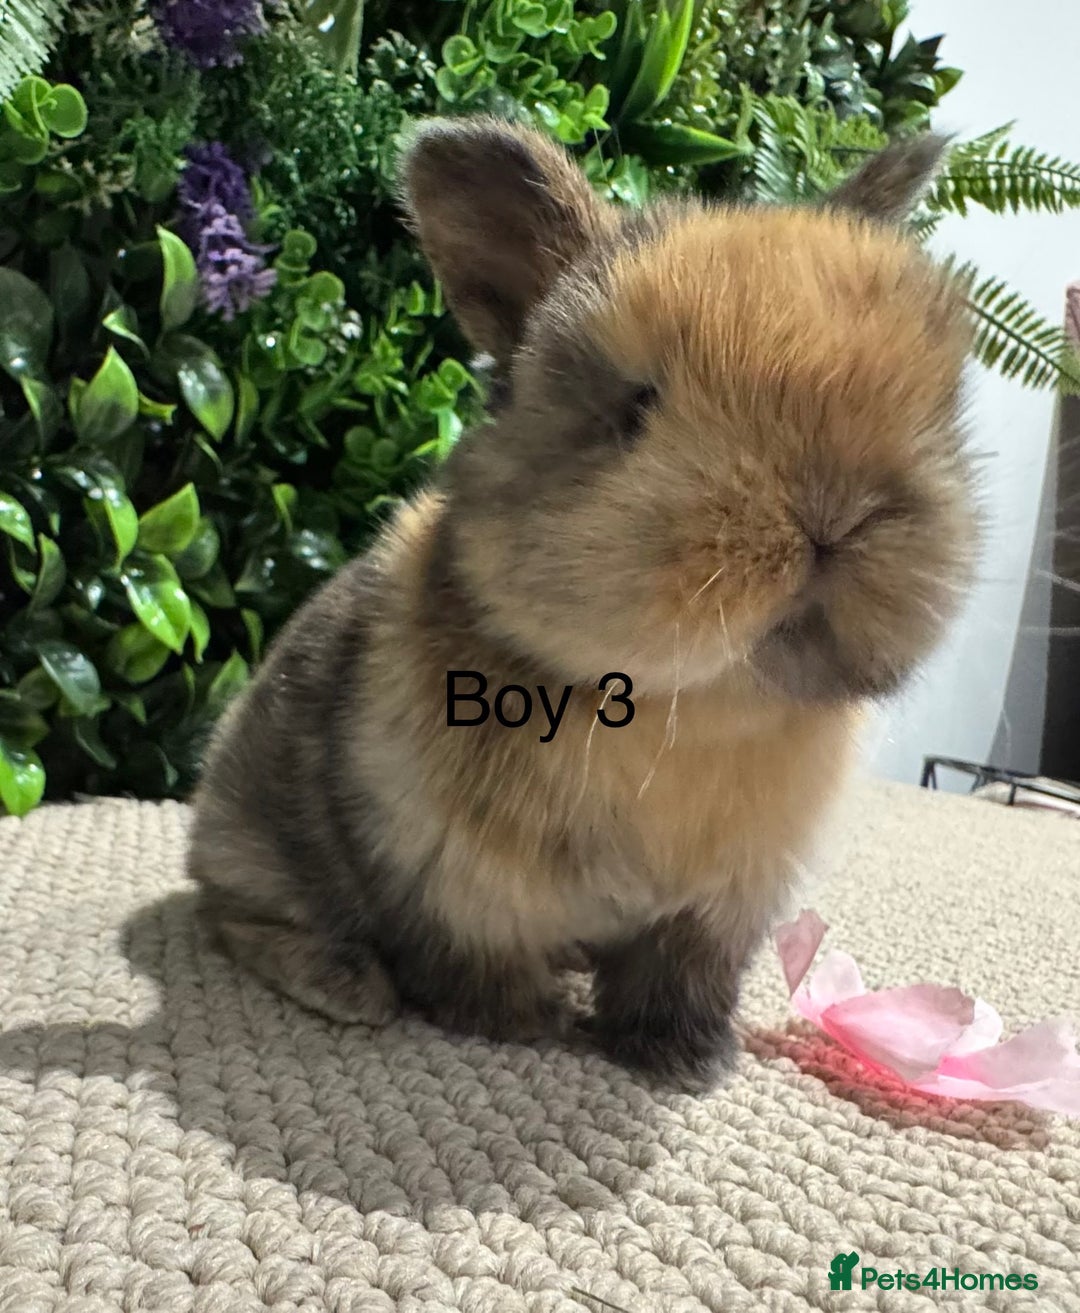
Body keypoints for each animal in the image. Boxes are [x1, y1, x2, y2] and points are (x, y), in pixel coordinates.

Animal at [186, 116, 979, 1089]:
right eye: (635, 406)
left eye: (935, 401)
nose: (834, 516)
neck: (693, 707)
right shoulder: (456, 885)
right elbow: (475, 966)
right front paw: (519, 1026)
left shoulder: (721, 909)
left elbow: (678, 980)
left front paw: (685, 1059)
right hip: (255, 843)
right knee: (234, 914)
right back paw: (348, 985)